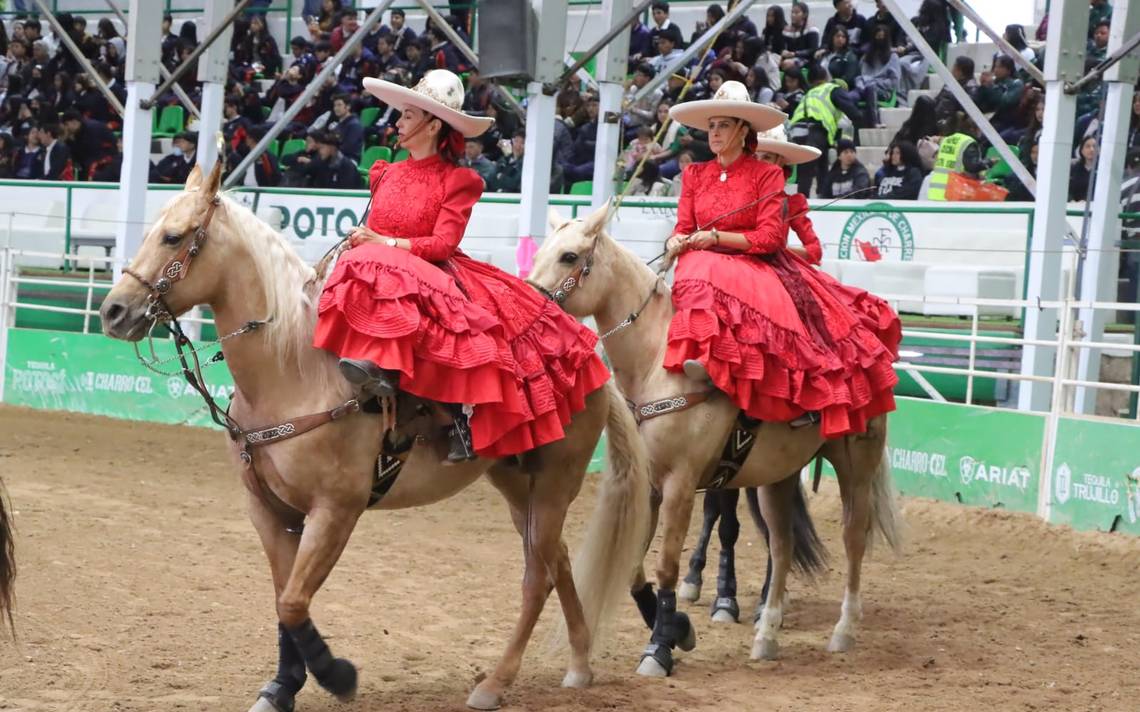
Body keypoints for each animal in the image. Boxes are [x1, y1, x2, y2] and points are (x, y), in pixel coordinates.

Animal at [98, 164, 652, 706]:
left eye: (173, 236)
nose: (112, 311)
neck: (296, 372)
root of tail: (589, 362)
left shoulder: (335, 511)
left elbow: (295, 601)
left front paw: (336, 675)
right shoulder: (269, 512)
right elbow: (282, 600)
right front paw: (282, 686)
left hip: (556, 483)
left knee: (537, 577)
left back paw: (495, 683)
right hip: (518, 485)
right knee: (558, 559)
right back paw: (579, 663)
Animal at [528, 207, 902, 678]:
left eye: (569, 256)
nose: (530, 302)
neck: (658, 363)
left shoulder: (681, 484)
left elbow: (667, 566)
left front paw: (658, 649)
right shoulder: (650, 485)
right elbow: (635, 569)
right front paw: (677, 627)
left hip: (856, 459)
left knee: (854, 536)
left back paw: (843, 629)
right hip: (777, 477)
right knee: (781, 545)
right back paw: (766, 635)